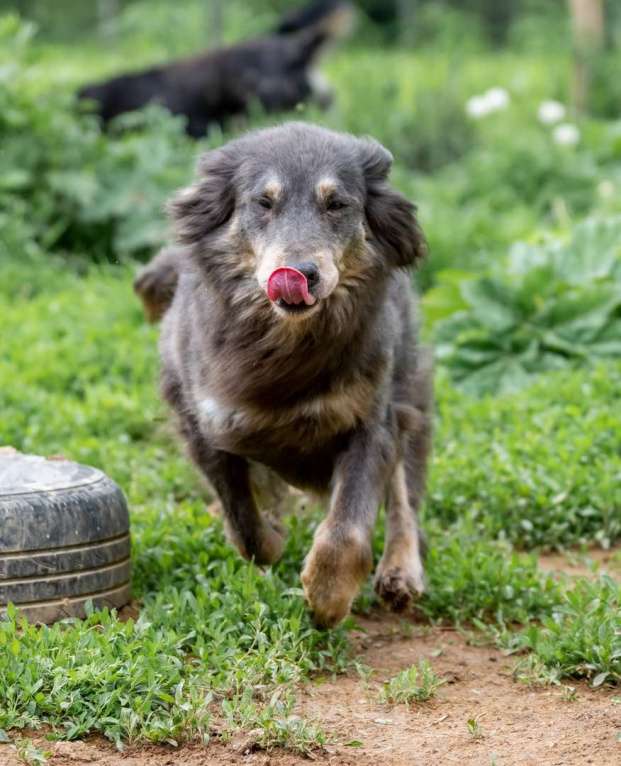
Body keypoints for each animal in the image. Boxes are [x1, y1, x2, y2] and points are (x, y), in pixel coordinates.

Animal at [136, 121, 432, 632]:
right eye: (263, 202)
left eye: (337, 204)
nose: (301, 274)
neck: (286, 345)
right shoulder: (205, 424)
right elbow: (245, 524)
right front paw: (272, 539)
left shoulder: (370, 424)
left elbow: (347, 528)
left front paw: (327, 597)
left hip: (406, 387)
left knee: (403, 492)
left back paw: (400, 571)